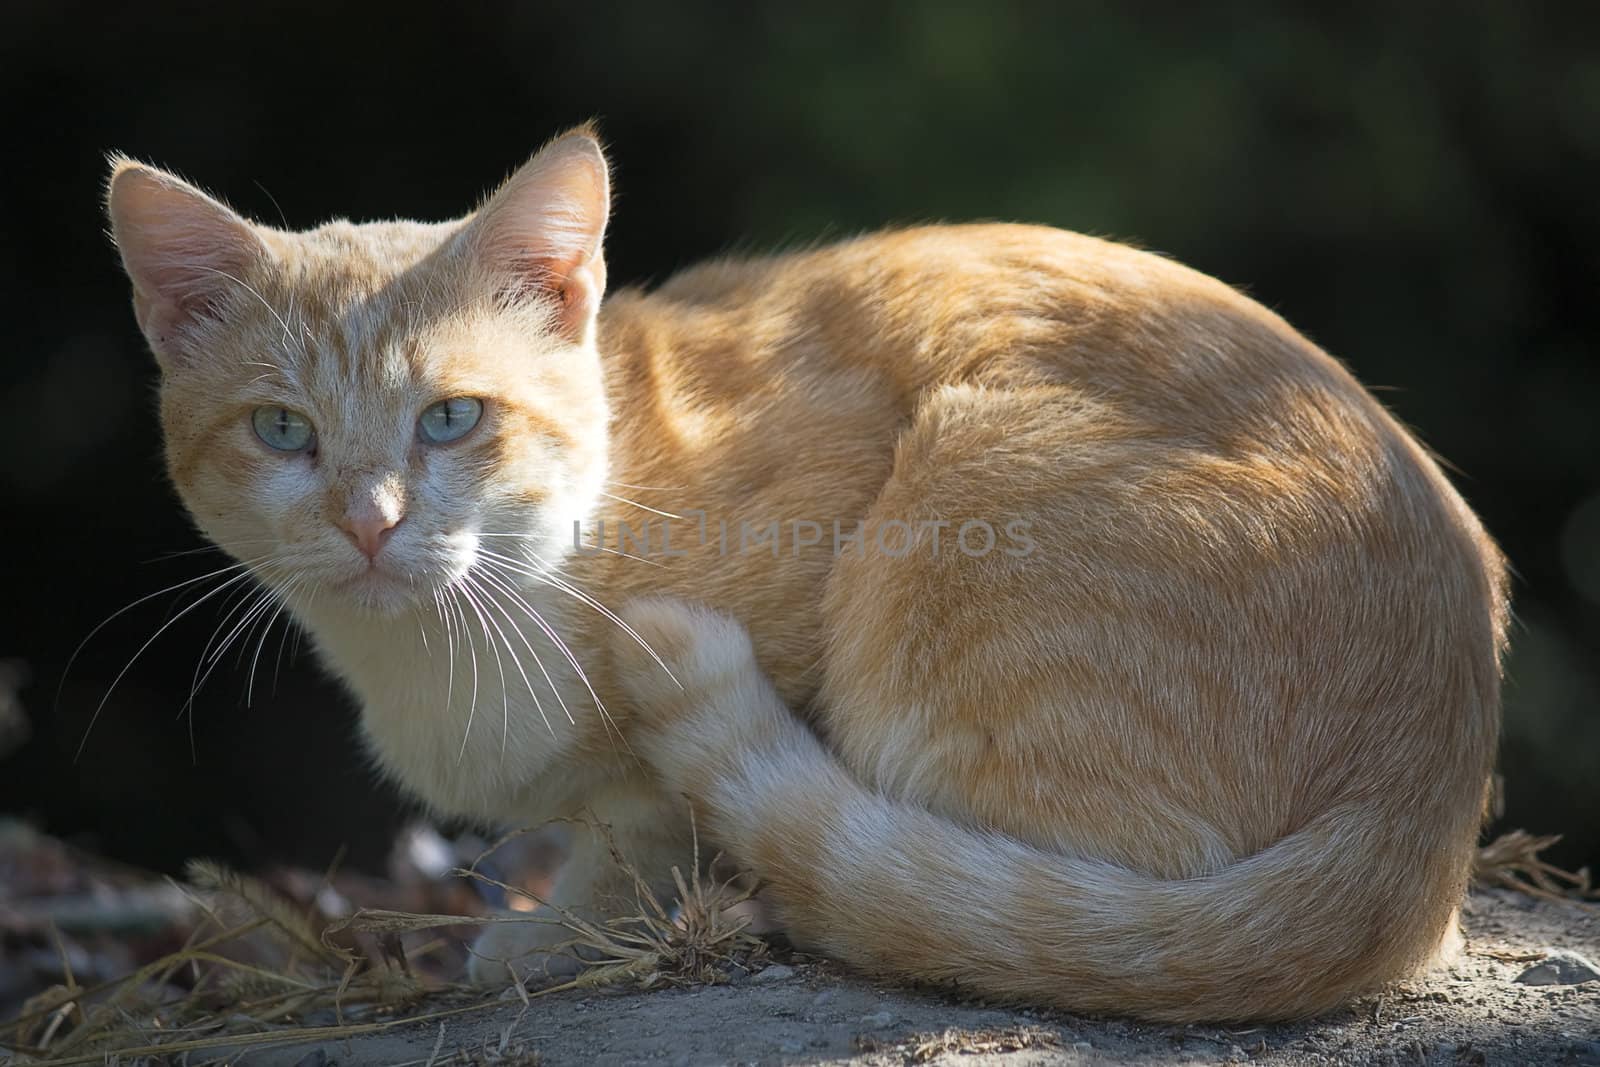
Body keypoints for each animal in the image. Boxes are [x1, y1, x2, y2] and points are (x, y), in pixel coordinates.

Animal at [106, 129, 1504, 1023]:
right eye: (282, 430)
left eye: (451, 419)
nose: (370, 521)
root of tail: (1428, 795)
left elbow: (648, 819)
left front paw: (561, 930)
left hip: (951, 523)